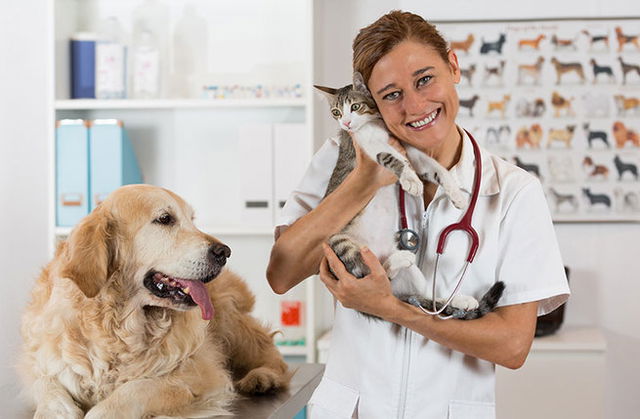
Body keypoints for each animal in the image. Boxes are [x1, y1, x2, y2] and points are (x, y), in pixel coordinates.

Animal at [19, 185, 290, 418]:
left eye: (192, 219)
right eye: (165, 219)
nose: (224, 252)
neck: (118, 325)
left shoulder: (199, 374)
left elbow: (137, 388)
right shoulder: (43, 362)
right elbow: (45, 385)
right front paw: (56, 410)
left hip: (228, 319)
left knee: (272, 354)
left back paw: (263, 377)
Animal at [316, 73, 504, 322]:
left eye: (355, 107)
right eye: (336, 112)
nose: (346, 123)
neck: (373, 125)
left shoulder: (410, 149)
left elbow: (436, 168)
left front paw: (455, 193)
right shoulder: (369, 148)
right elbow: (394, 159)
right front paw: (411, 180)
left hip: (411, 277)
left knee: (418, 295)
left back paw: (460, 300)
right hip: (339, 242)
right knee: (371, 276)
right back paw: (396, 262)